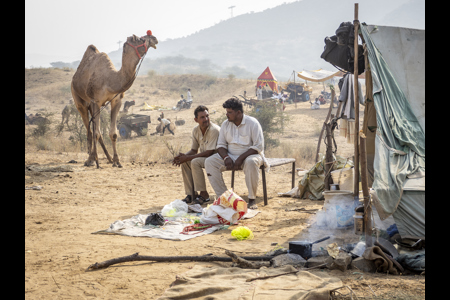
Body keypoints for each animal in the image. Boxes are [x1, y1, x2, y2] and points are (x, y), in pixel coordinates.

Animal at [71, 31, 157, 168]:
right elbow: (96, 133)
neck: (110, 80)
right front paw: (97, 163)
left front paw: (117, 161)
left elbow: (113, 133)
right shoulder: (95, 101)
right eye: (140, 39)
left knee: (95, 131)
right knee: (90, 131)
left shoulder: (116, 101)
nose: (154, 38)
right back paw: (90, 160)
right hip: (80, 102)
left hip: (92, 106)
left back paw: (107, 158)